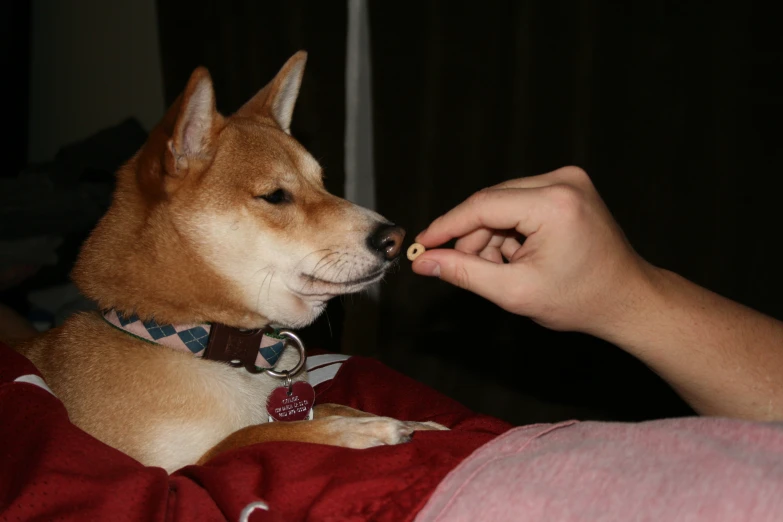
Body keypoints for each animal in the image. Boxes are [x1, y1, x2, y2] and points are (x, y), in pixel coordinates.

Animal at [18, 51, 444, 472]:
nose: (395, 238)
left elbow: (325, 406)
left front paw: (415, 421)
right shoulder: (180, 467)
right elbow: (255, 434)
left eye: (323, 184)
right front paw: (365, 429)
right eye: (275, 196)